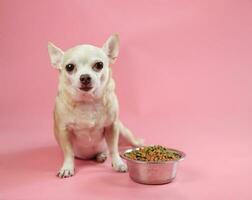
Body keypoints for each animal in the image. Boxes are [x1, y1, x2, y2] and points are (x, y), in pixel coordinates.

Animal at [47, 33, 142, 177]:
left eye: (99, 65)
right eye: (69, 67)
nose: (85, 77)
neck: (88, 101)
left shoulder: (112, 127)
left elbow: (114, 149)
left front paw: (118, 163)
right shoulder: (64, 131)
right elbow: (68, 153)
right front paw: (67, 167)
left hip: (124, 131)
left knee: (130, 143)